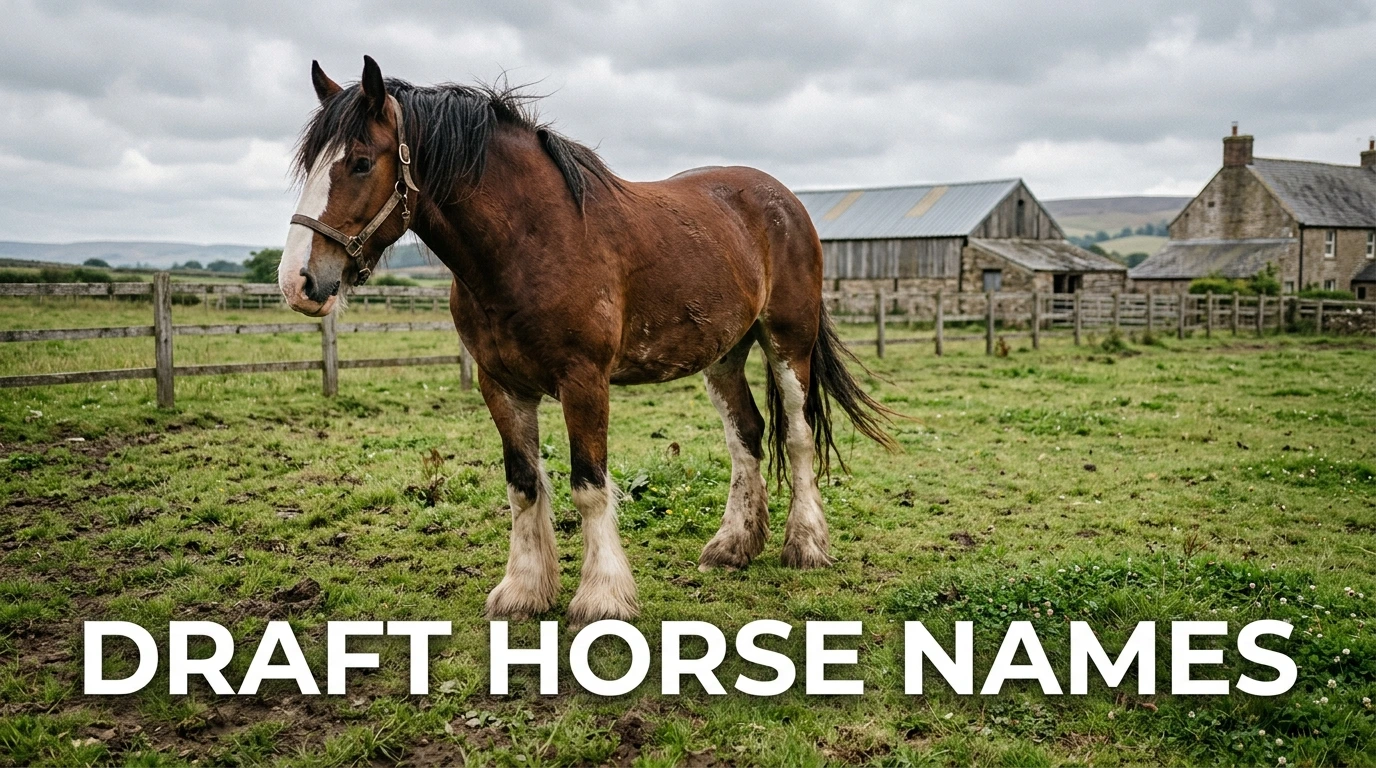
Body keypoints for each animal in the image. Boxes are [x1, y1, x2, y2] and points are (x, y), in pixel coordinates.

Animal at [279, 56, 894, 624]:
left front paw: (602, 598)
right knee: (746, 435)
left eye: (361, 162)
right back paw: (732, 546)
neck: (531, 242)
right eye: (309, 164)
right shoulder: (501, 386)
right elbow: (523, 485)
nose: (298, 281)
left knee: (797, 435)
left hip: (789, 341)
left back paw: (805, 546)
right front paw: (524, 590)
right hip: (724, 354)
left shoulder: (584, 382)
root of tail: (784, 199)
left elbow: (589, 486)